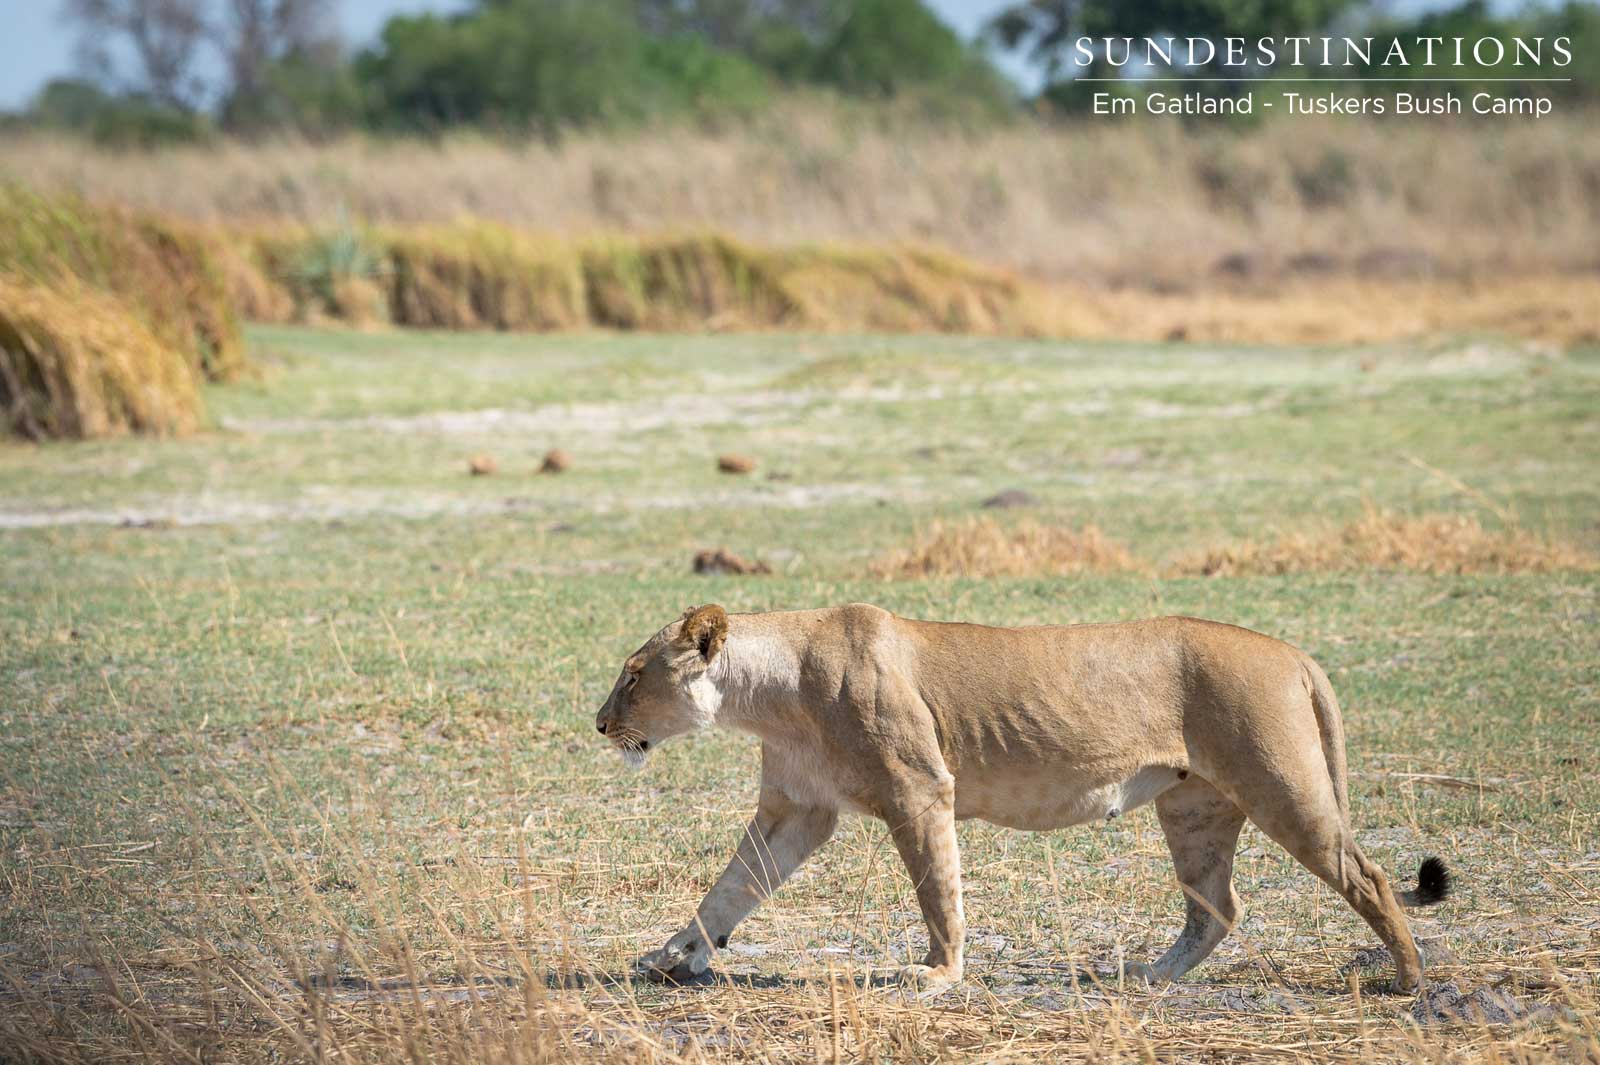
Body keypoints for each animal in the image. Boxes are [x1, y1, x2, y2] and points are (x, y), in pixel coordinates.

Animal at [595, 603, 1452, 994]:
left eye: (634, 674)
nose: (600, 722)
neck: (768, 694)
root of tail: (1294, 652)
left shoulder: (920, 788)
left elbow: (938, 891)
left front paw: (939, 974)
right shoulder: (799, 809)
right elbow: (731, 887)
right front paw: (674, 952)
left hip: (1282, 784)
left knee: (1368, 875)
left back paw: (1408, 977)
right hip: (1195, 809)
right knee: (1217, 906)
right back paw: (1150, 974)